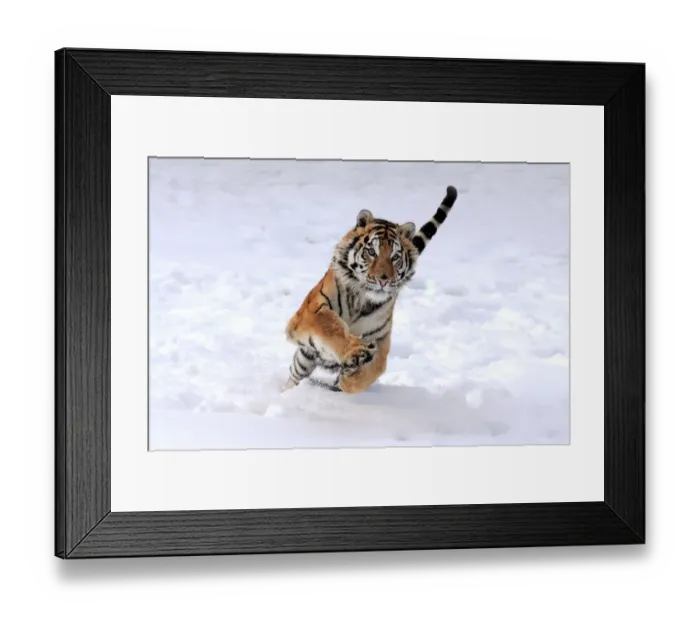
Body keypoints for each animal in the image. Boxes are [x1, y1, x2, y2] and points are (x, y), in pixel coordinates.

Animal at [284, 185, 458, 394]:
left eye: (395, 257)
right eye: (371, 252)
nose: (383, 279)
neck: (362, 299)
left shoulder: (380, 339)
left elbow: (376, 367)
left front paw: (347, 381)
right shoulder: (311, 311)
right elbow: (331, 327)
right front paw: (355, 352)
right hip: (305, 357)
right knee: (295, 375)